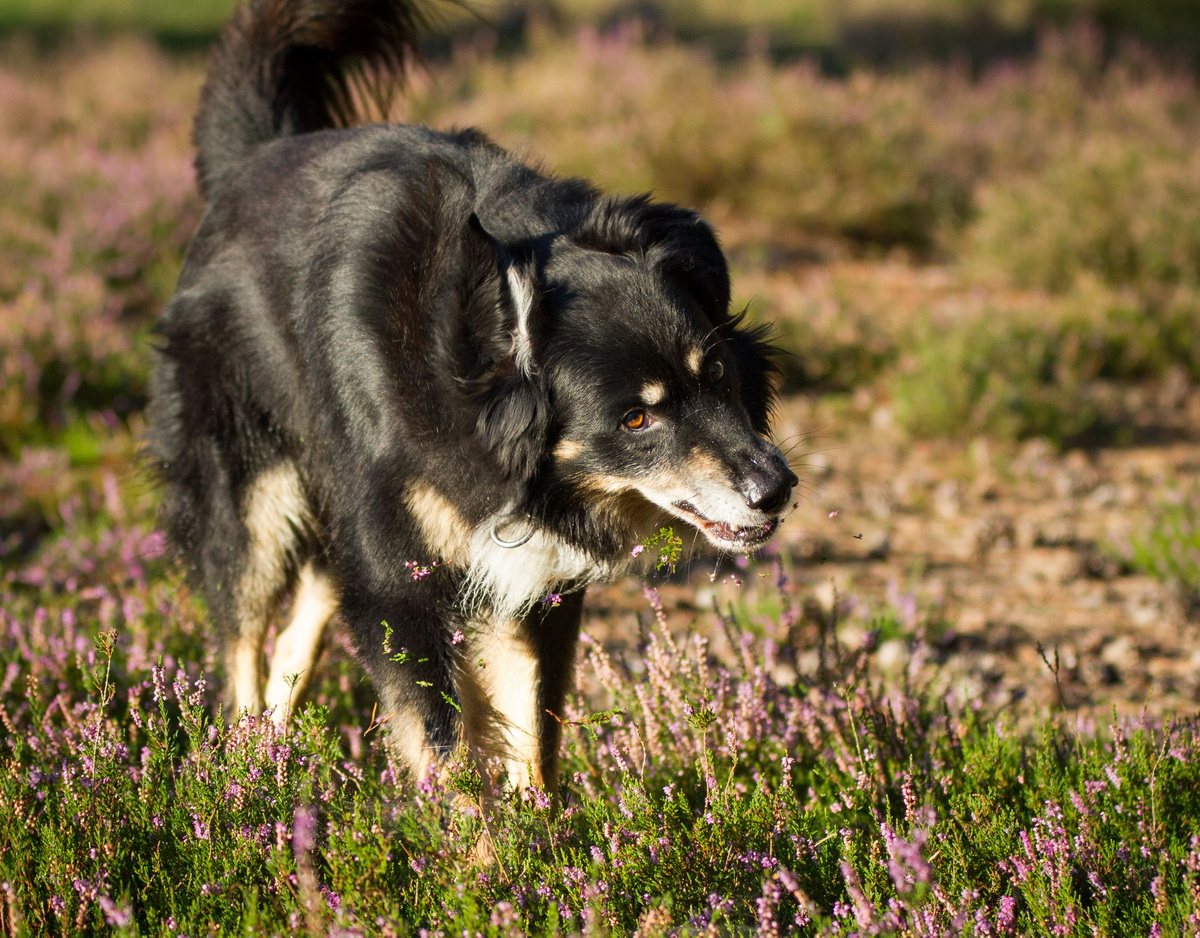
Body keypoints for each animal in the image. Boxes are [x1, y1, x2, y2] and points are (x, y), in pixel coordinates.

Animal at [150, 0, 801, 791]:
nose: (777, 489)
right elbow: (442, 743)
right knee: (243, 623)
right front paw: (467, 828)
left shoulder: (529, 575)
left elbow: (531, 727)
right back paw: (241, 780)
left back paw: (272, 754)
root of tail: (252, 158)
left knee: (305, 608)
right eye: (635, 417)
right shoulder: (401, 574)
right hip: (254, 486)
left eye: (718, 376)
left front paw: (542, 825)